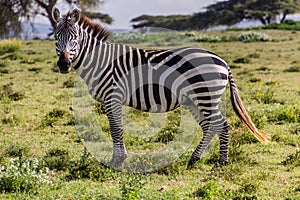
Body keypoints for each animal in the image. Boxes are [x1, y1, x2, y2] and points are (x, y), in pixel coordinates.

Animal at [51, 7, 270, 168]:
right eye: (56, 38)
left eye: (74, 38)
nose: (63, 64)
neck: (100, 61)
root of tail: (223, 62)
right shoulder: (111, 100)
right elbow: (116, 128)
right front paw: (119, 158)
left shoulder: (112, 97)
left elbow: (115, 129)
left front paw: (117, 161)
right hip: (194, 100)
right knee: (210, 126)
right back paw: (194, 159)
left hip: (205, 96)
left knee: (221, 125)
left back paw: (222, 162)